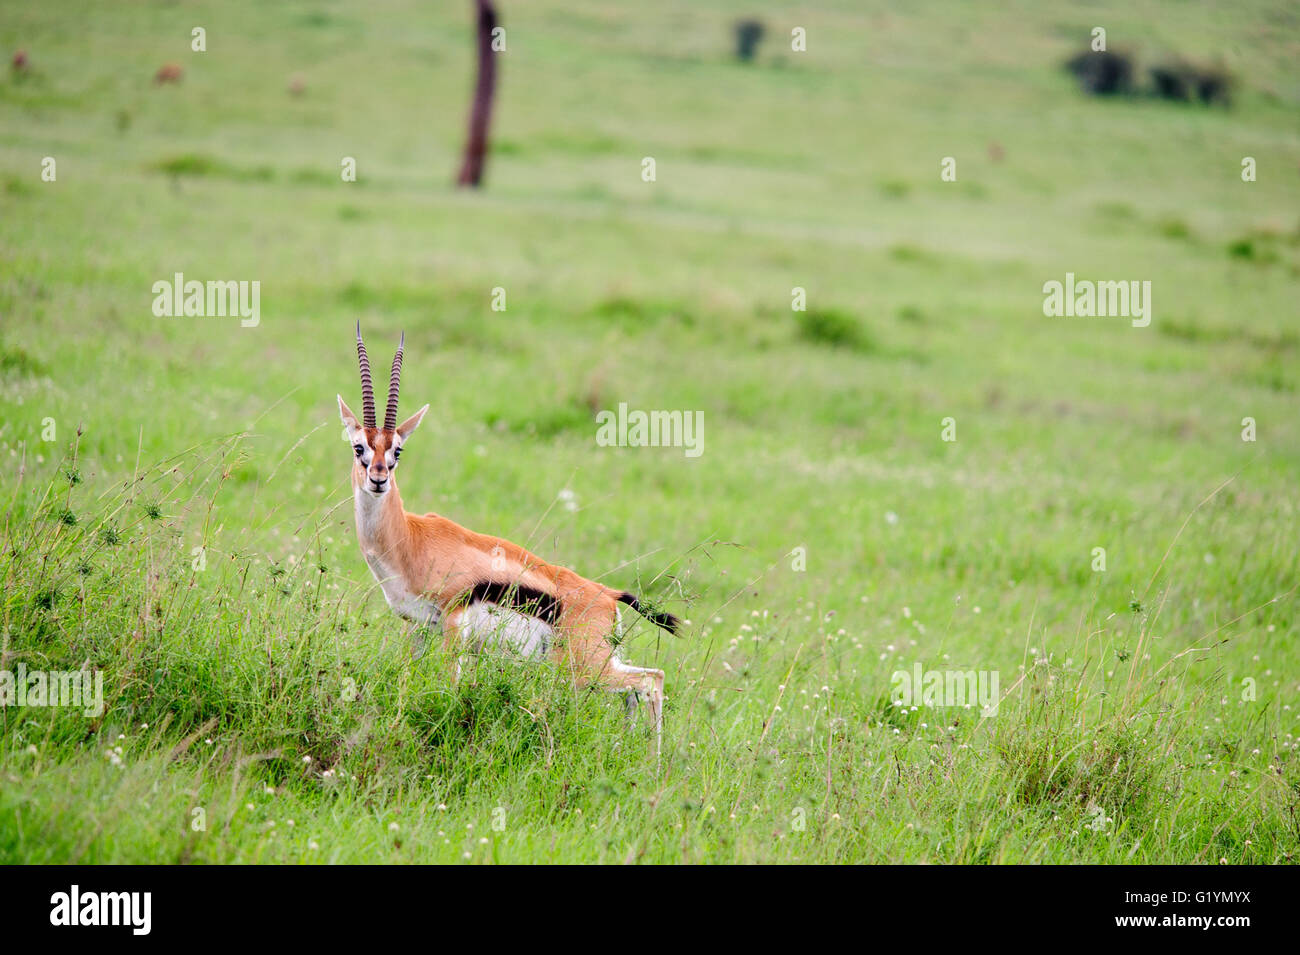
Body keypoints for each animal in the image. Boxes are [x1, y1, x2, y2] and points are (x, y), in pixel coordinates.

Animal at [337, 326, 678, 750]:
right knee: (636, 691)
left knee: (651, 682)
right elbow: (405, 676)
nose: (379, 479)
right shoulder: (415, 625)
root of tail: (609, 595)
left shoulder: (452, 623)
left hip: (584, 667)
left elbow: (449, 684)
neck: (411, 539)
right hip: (598, 663)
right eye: (359, 448)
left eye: (397, 451)